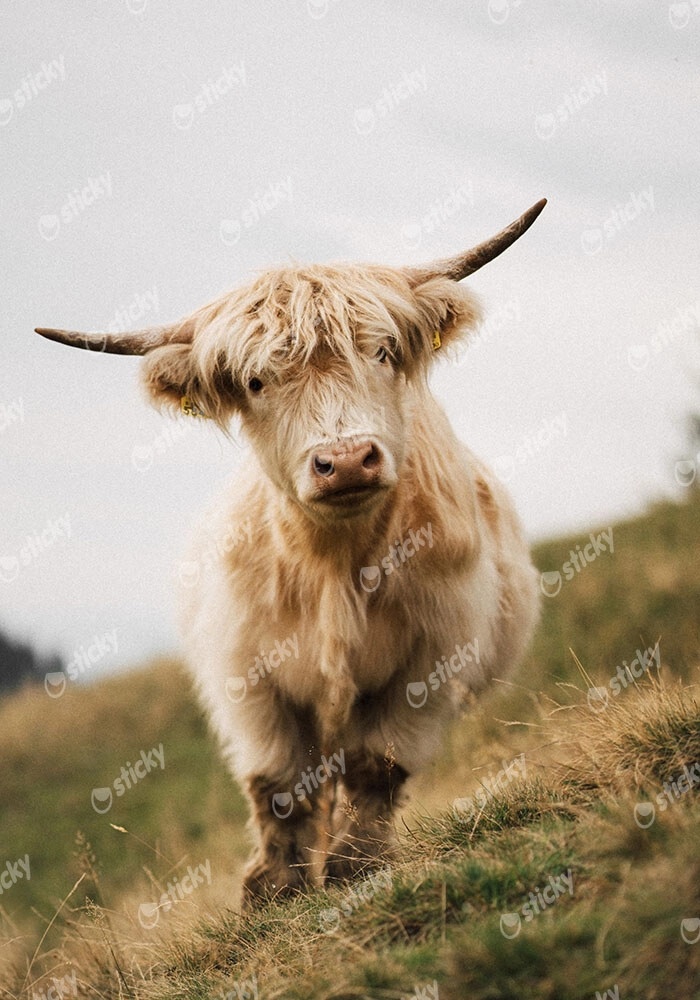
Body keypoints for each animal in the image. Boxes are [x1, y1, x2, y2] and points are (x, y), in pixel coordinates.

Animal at [36, 199, 544, 906]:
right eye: (255, 381)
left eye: (381, 350)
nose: (347, 461)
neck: (334, 561)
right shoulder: (246, 673)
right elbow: (276, 781)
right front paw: (274, 890)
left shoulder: (434, 658)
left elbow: (377, 764)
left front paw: (358, 867)